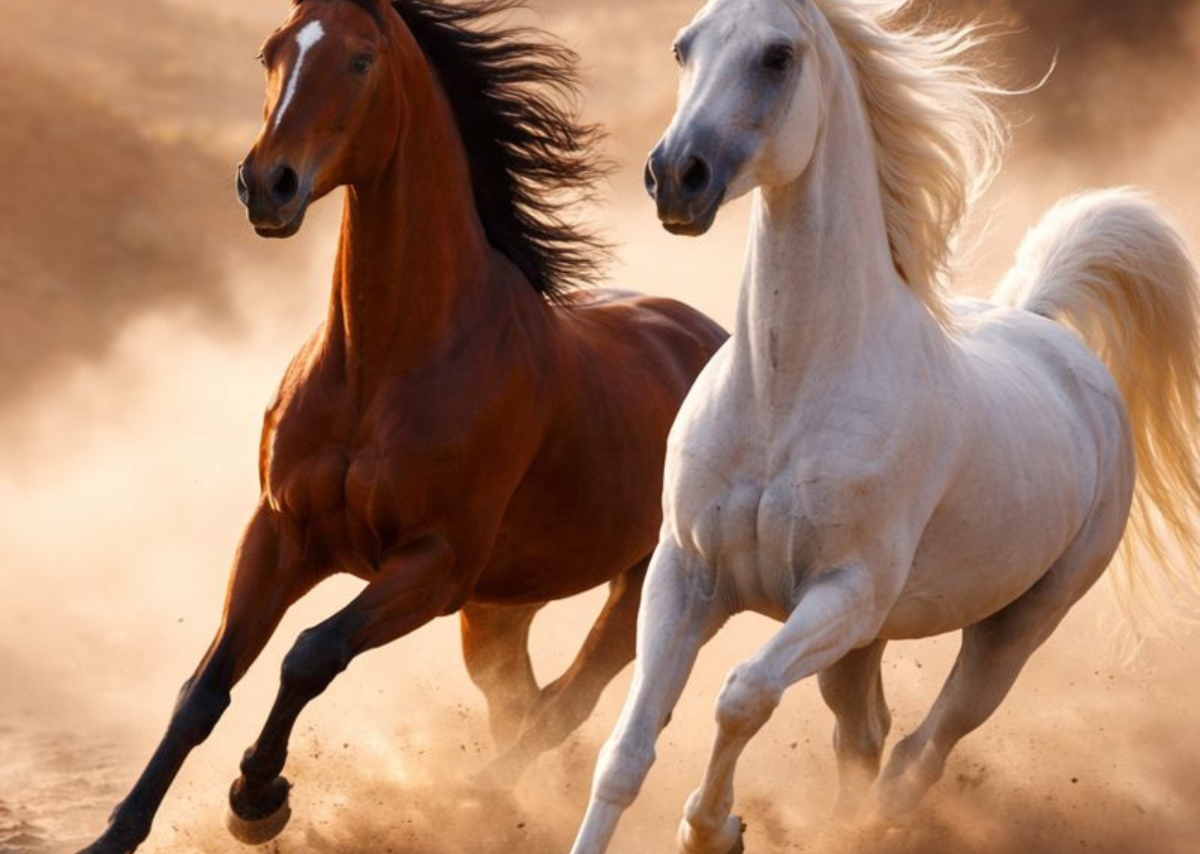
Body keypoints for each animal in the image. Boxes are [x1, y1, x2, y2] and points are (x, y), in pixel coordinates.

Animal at [75, 1, 727, 852]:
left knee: (564, 705)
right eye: (271, 53)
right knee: (521, 701)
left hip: (644, 591)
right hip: (499, 608)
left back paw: (477, 804)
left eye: (360, 61)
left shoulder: (432, 566)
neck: (383, 363)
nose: (266, 186)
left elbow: (311, 653)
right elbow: (203, 689)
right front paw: (116, 833)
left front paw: (257, 795)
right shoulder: (281, 534)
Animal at [567, 1, 1200, 853]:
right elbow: (625, 754)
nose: (675, 177)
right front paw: (705, 820)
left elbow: (742, 694)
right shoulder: (686, 576)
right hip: (863, 647)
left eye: (777, 55)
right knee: (866, 737)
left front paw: (712, 827)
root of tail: (1047, 330)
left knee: (919, 753)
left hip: (1013, 629)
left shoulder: (845, 595)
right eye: (682, 47)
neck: (787, 396)